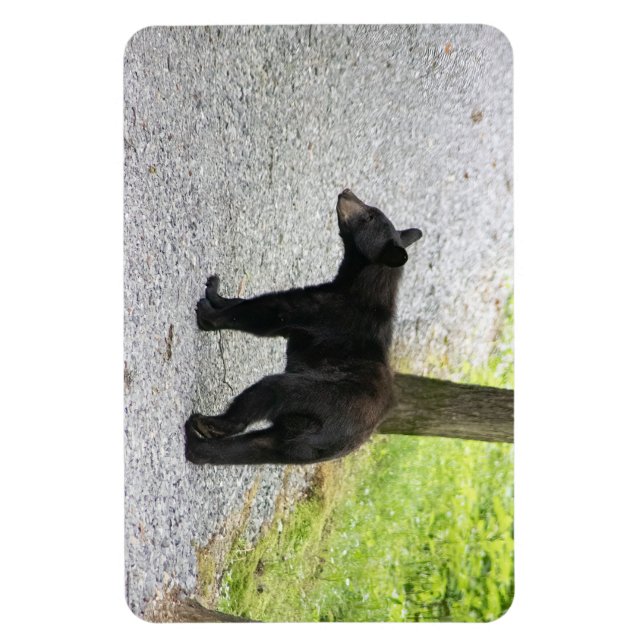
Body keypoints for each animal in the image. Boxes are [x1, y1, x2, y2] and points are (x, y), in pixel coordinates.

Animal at [185, 188, 422, 465]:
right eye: (372, 209)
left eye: (369, 215)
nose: (346, 192)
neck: (365, 283)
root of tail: (335, 442)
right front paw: (215, 291)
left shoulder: (327, 312)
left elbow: (271, 313)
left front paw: (208, 313)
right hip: (298, 442)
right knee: (255, 446)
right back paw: (196, 444)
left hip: (320, 396)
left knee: (270, 393)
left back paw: (212, 424)